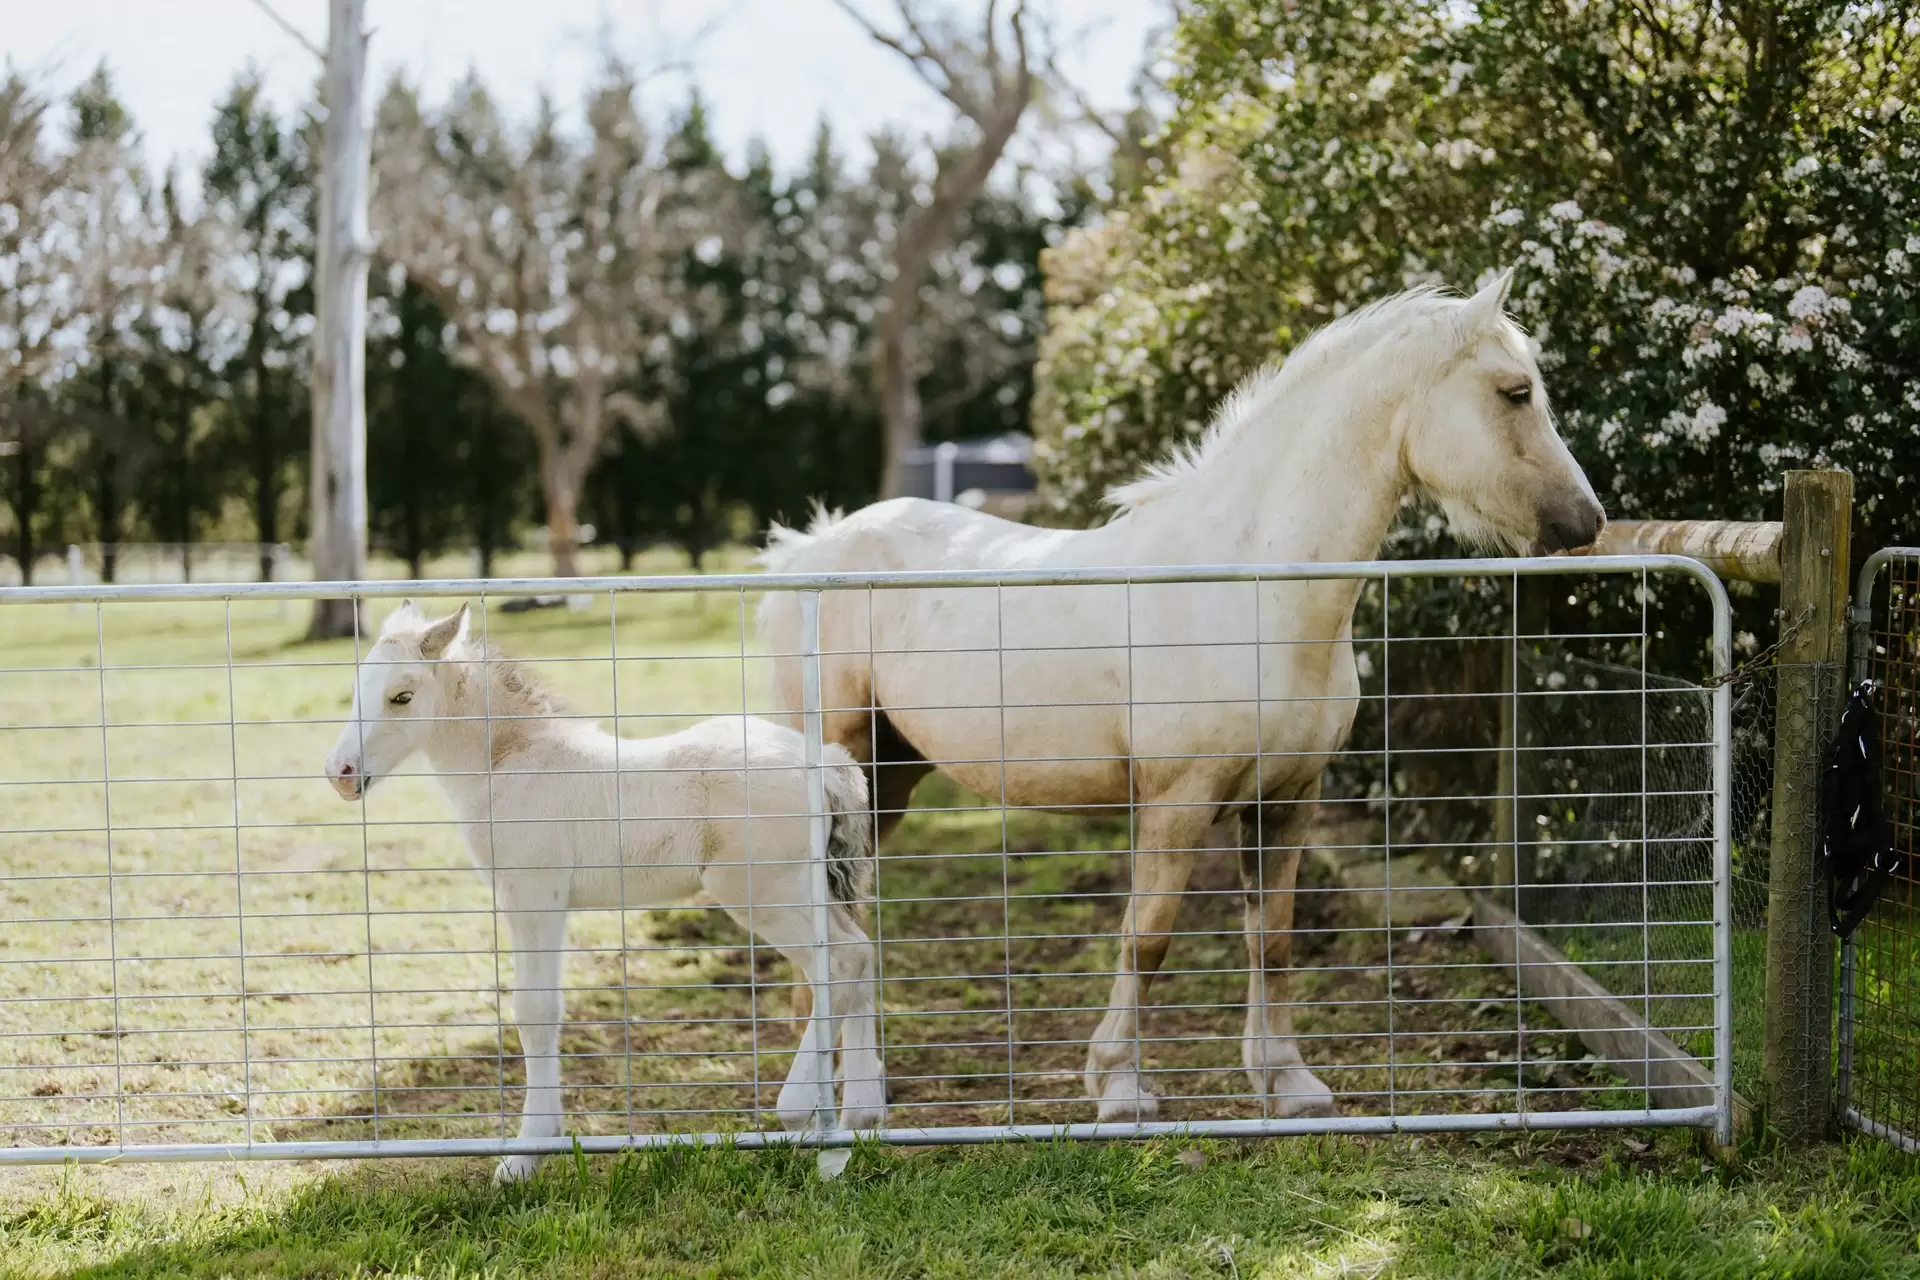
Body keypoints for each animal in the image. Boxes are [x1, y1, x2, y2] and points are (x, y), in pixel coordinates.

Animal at [324, 606, 883, 1189]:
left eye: (402, 696)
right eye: (357, 688)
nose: (340, 773)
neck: (509, 762)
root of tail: (826, 760)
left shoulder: (533, 895)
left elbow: (535, 1010)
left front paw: (525, 1155)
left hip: (761, 890)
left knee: (841, 961)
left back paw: (797, 1109)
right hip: (805, 888)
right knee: (861, 954)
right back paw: (852, 1131)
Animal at [760, 272, 1605, 1120]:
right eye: (1515, 391)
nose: (1586, 522)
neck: (1252, 588)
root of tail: (816, 546)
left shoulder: (1288, 801)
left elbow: (1272, 939)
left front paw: (1286, 1083)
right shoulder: (1178, 802)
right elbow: (1148, 937)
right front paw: (1120, 1087)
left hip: (889, 779)